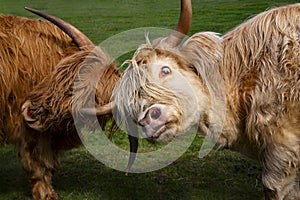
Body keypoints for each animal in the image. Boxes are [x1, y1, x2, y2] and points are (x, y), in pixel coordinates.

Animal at [0, 7, 119, 198]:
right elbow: (35, 162)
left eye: (90, 98)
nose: (29, 112)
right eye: (64, 75)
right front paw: (46, 193)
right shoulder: (27, 130)